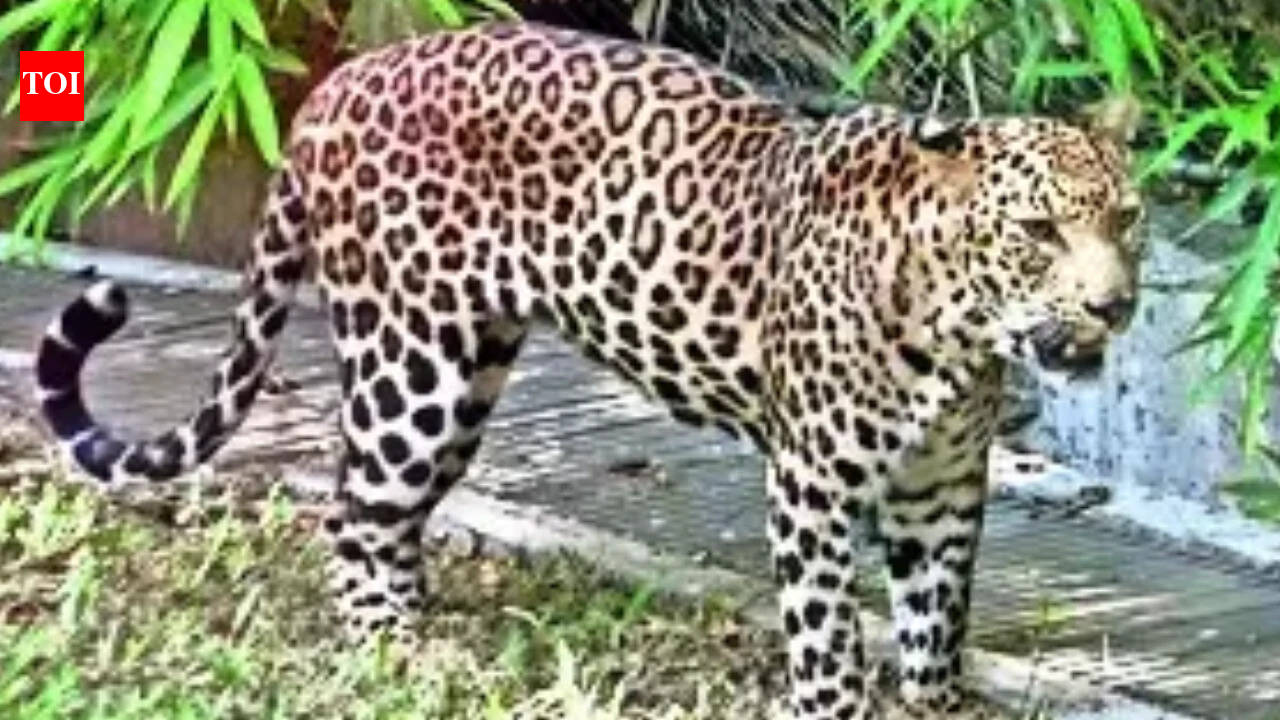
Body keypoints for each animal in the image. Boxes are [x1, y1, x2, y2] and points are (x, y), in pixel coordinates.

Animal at [32, 20, 1143, 720]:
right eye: (1038, 232)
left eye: (1125, 219)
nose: (1114, 306)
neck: (959, 334)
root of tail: (337, 87)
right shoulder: (814, 484)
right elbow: (826, 629)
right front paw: (832, 705)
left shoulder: (939, 489)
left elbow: (936, 616)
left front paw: (935, 703)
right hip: (411, 369)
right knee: (352, 511)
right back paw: (395, 648)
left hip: (467, 371)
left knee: (389, 513)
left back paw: (423, 621)